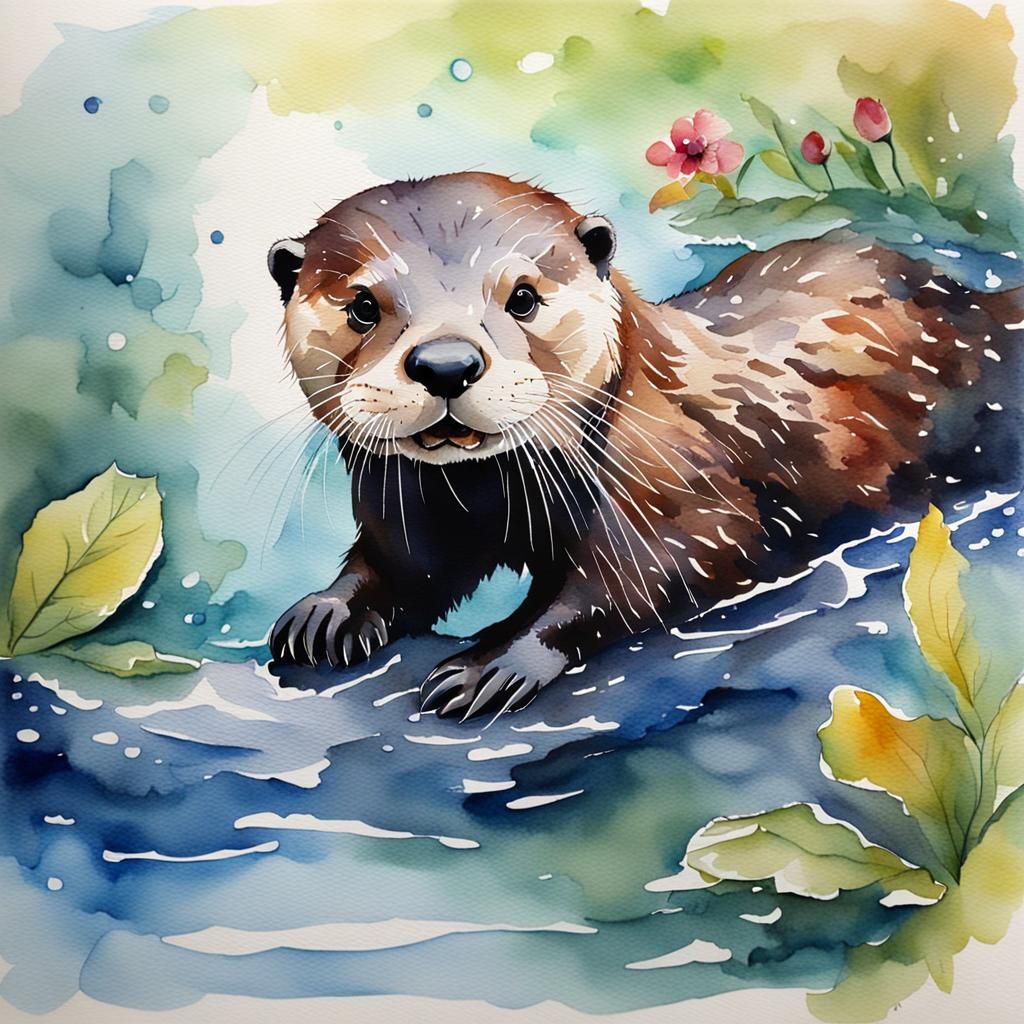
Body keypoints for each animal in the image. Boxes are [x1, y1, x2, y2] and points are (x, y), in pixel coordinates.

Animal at [266, 171, 1021, 720]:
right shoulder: (406, 502)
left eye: (523, 297)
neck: (491, 495)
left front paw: (492, 662)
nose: (446, 364)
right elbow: (403, 568)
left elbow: (645, 575)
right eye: (363, 305)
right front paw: (328, 609)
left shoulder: (674, 490)